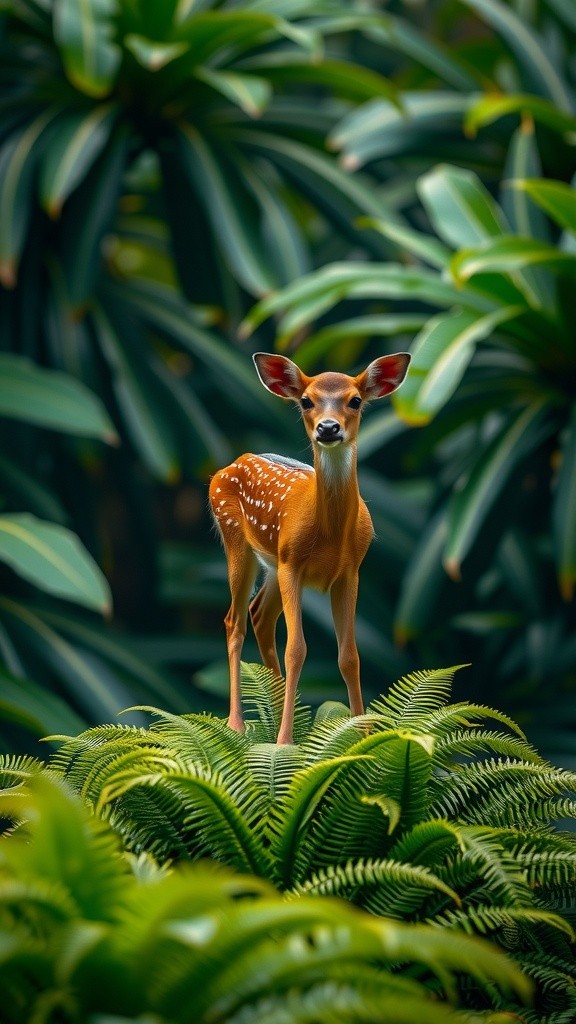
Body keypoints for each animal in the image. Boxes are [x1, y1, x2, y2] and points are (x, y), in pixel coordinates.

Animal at [209, 351, 411, 744]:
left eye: (355, 400)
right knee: (234, 621)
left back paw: (279, 717)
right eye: (305, 401)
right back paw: (238, 723)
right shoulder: (294, 565)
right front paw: (285, 741)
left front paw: (363, 736)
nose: (328, 428)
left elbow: (350, 655)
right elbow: (297, 649)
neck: (330, 535)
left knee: (260, 616)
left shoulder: (350, 572)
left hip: (274, 564)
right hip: (238, 541)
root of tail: (231, 463)